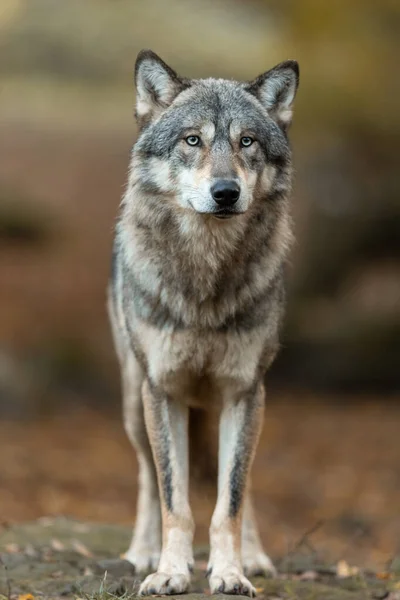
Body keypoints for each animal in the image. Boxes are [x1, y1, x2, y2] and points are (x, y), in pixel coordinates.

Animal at [108, 50, 298, 596]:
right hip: (134, 404)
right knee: (148, 476)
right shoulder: (163, 390)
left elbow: (228, 502)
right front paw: (170, 571)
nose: (226, 192)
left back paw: (252, 556)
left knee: (241, 484)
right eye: (193, 139)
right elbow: (174, 500)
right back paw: (141, 552)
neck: (204, 283)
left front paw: (231, 571)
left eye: (246, 141)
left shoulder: (243, 391)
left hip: (241, 407)